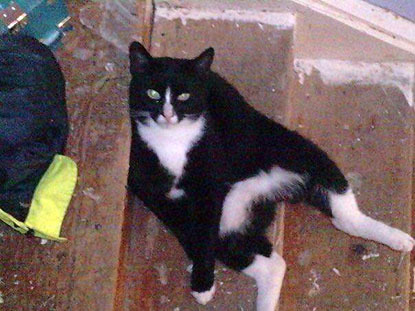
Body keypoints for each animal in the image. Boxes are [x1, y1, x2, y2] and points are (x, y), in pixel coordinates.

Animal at [128, 42, 414, 311]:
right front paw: (203, 282)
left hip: (298, 151)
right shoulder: (150, 188)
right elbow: (194, 232)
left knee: (345, 214)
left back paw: (400, 239)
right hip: (233, 220)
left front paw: (202, 285)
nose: (167, 114)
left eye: (184, 96)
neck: (172, 141)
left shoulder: (209, 186)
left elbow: (205, 233)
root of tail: (265, 188)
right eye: (152, 94)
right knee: (269, 262)